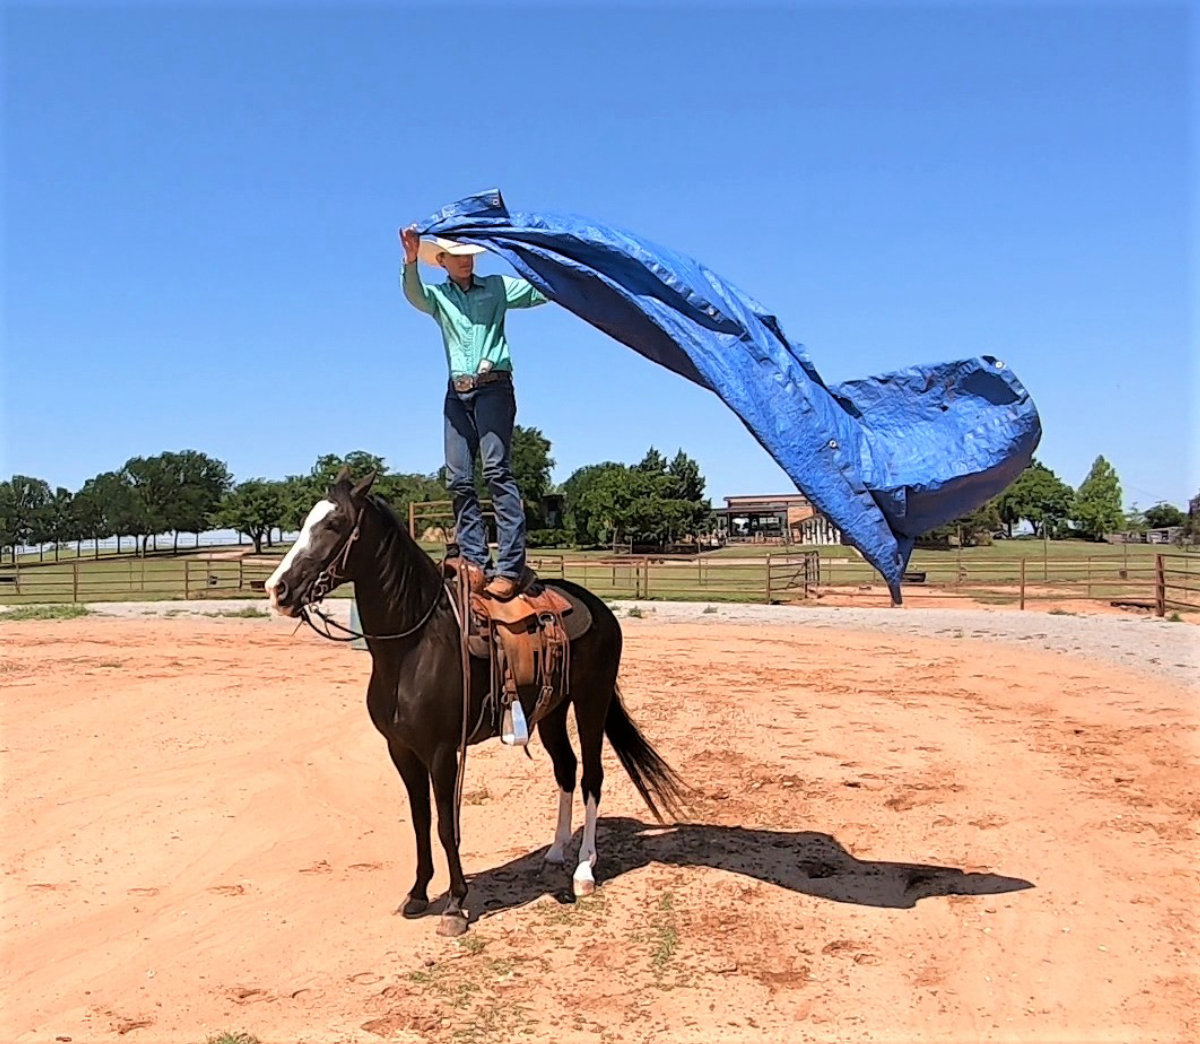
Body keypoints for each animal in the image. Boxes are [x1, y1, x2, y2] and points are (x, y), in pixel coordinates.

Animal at [264, 469, 686, 936]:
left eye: (335, 524)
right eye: (306, 520)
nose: (277, 590)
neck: (413, 645)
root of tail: (599, 609)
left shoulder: (442, 752)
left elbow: (447, 825)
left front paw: (455, 904)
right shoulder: (402, 751)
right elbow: (420, 821)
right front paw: (418, 894)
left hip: (591, 703)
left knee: (592, 775)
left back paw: (583, 871)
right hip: (552, 712)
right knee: (566, 769)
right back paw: (556, 852)